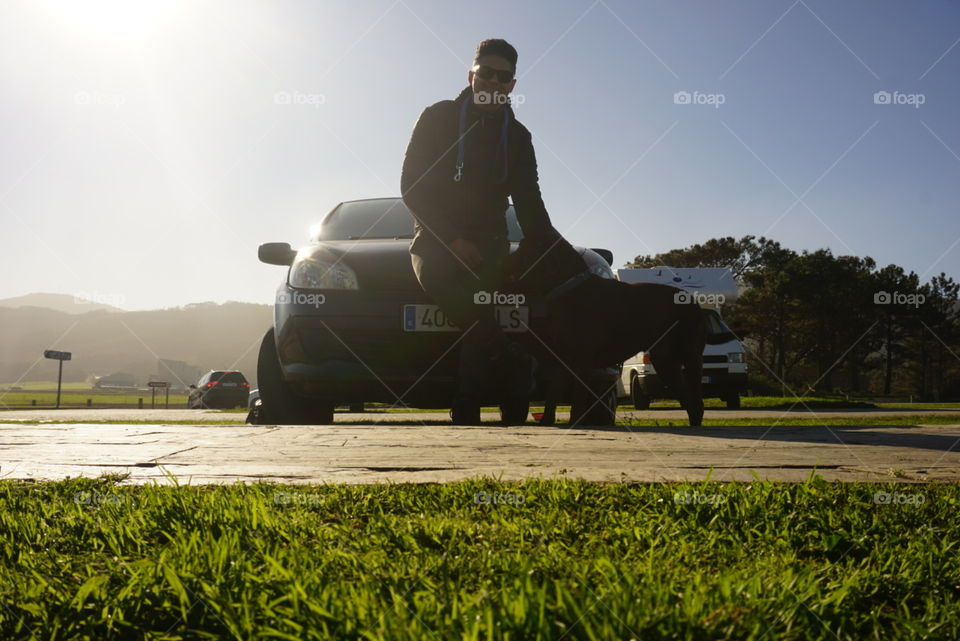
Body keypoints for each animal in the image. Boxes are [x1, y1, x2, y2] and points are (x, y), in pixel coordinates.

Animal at [506, 234, 724, 424]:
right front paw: (548, 421)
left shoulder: (582, 363)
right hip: (666, 361)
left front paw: (573, 422)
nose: (501, 262)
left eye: (524, 251)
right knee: (691, 401)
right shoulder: (561, 360)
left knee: (695, 400)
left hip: (688, 357)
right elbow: (552, 394)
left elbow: (577, 402)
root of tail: (694, 303)